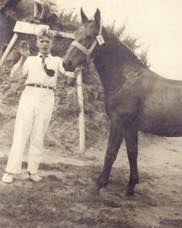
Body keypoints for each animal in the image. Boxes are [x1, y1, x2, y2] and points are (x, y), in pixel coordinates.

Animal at [63, 8, 182, 194]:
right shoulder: (130, 127)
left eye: (89, 36)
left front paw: (99, 184)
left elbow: (111, 152)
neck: (127, 79)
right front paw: (130, 186)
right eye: (75, 34)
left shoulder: (118, 122)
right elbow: (132, 153)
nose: (66, 63)